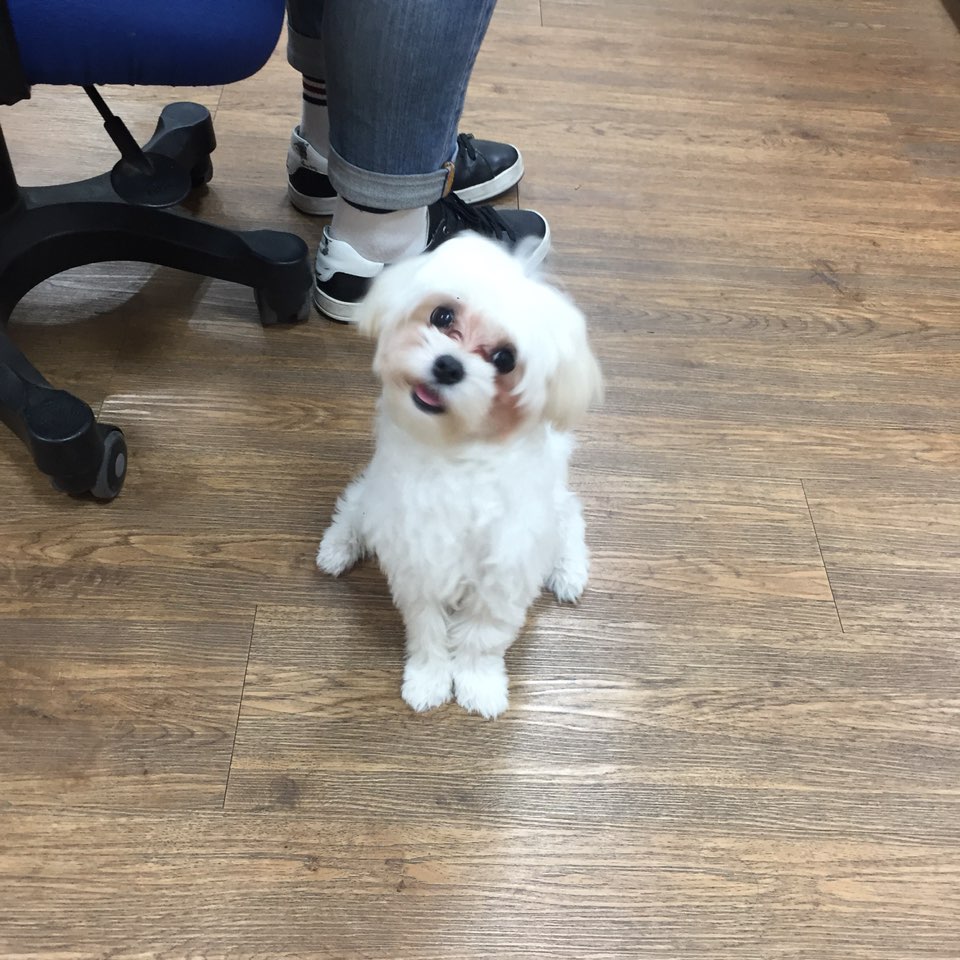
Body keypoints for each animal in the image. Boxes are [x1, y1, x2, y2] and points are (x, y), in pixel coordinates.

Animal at [317, 234, 602, 718]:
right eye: (442, 316)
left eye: (505, 359)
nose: (448, 366)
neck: (456, 459)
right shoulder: (418, 560)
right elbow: (427, 631)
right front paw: (429, 680)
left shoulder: (504, 573)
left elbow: (482, 640)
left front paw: (478, 685)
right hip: (375, 496)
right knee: (355, 504)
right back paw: (338, 546)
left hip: (554, 511)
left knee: (570, 522)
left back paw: (568, 572)